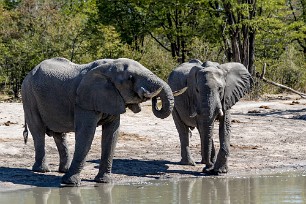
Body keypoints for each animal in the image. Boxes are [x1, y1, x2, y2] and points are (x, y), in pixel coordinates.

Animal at [21, 56, 185, 186]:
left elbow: (112, 134)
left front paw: (104, 182)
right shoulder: (85, 102)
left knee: (59, 135)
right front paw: (70, 183)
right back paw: (42, 170)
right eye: (131, 78)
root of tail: (29, 73)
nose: (152, 97)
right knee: (38, 131)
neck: (109, 67)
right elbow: (86, 133)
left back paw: (63, 170)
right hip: (28, 96)